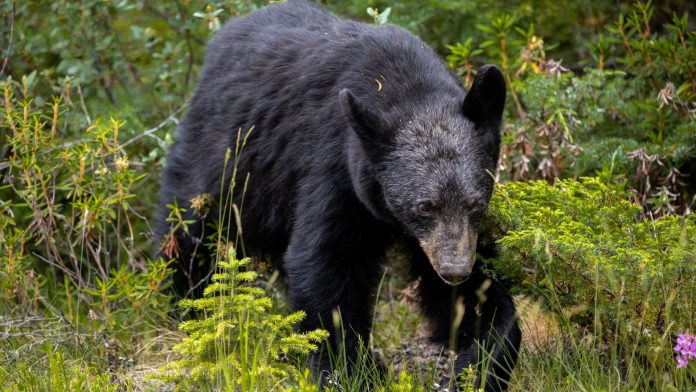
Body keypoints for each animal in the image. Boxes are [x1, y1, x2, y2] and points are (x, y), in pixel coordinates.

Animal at [158, 0, 516, 388]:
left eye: (475, 203)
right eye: (424, 207)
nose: (454, 270)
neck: (405, 87)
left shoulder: (450, 235)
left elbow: (477, 291)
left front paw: (480, 359)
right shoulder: (335, 167)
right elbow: (327, 261)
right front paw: (350, 369)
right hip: (223, 159)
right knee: (188, 231)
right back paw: (185, 307)